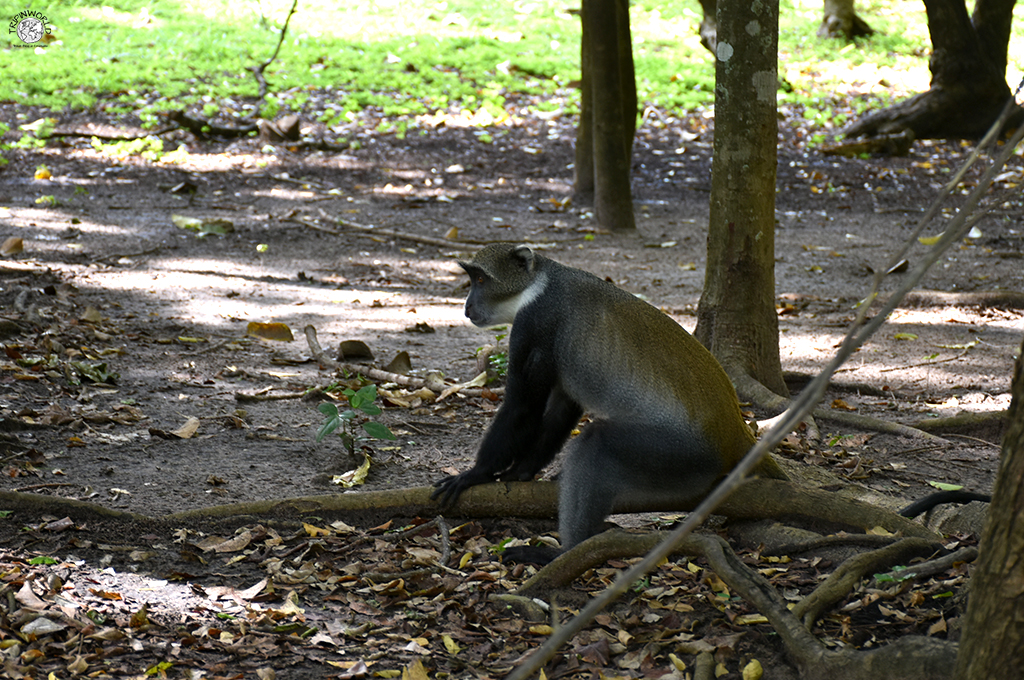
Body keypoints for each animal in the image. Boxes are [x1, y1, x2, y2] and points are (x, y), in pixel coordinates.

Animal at [431, 243, 788, 564]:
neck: (538, 284)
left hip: (683, 456)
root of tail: (735, 433)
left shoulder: (533, 324)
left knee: (596, 443)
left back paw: (565, 551)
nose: (467, 306)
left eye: (480, 279)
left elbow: (522, 407)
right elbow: (561, 409)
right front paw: (521, 471)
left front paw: (475, 474)